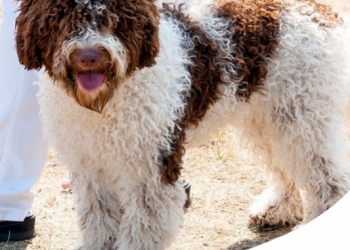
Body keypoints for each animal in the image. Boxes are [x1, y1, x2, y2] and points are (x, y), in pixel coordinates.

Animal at [15, 0, 350, 249]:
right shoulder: (90, 166)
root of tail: (318, 9)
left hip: (302, 114)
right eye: (60, 20)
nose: (88, 57)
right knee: (283, 167)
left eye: (114, 21)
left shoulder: (152, 166)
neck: (104, 103)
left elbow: (144, 227)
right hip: (267, 118)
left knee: (328, 178)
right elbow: (99, 219)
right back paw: (277, 209)